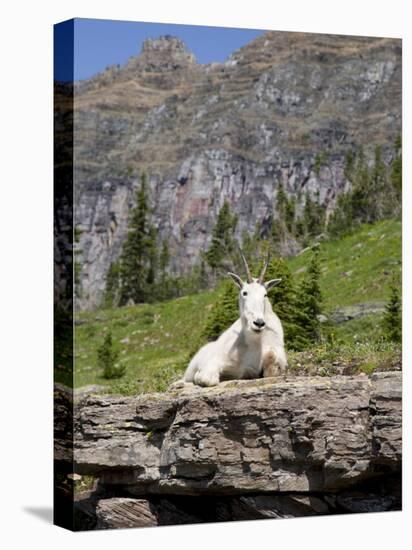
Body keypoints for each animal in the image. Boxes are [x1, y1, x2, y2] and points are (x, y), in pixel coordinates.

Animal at [185, 253, 288, 388]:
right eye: (245, 293)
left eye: (265, 294)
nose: (259, 323)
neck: (256, 341)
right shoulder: (218, 361)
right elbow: (206, 378)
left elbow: (271, 365)